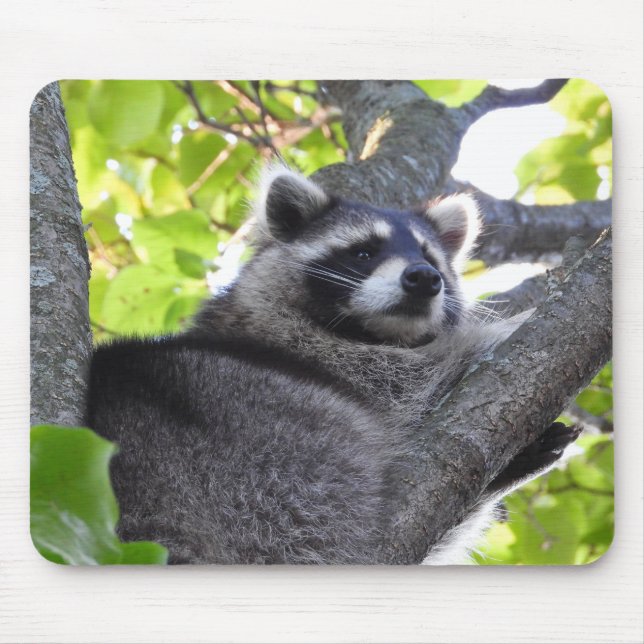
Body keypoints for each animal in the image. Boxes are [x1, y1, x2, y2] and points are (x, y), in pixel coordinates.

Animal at [87, 166, 579, 564]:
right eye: (363, 252)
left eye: (429, 257)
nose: (424, 278)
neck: (375, 330)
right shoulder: (311, 353)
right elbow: (419, 379)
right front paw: (508, 326)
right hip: (276, 461)